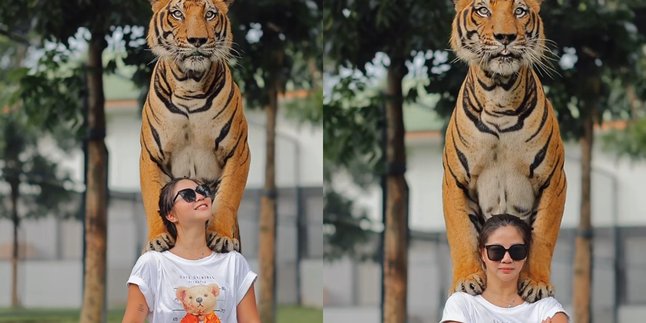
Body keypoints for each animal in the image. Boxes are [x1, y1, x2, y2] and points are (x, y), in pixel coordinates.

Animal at [140, 0, 249, 254]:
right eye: (177, 13)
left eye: (209, 14)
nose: (197, 40)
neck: (189, 83)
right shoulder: (150, 155)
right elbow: (152, 197)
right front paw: (157, 238)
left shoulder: (238, 151)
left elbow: (228, 196)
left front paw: (222, 236)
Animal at [446, 0, 568, 304]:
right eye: (483, 10)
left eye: (520, 11)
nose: (505, 37)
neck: (499, 92)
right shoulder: (455, 180)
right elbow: (461, 232)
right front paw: (467, 279)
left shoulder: (553, 179)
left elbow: (543, 234)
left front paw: (536, 283)